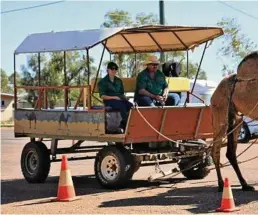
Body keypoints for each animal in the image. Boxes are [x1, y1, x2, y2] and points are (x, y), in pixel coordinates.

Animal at [210, 50, 258, 191]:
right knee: (216, 150)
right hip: (220, 117)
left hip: (237, 120)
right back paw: (221, 185)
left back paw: (244, 184)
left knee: (230, 152)